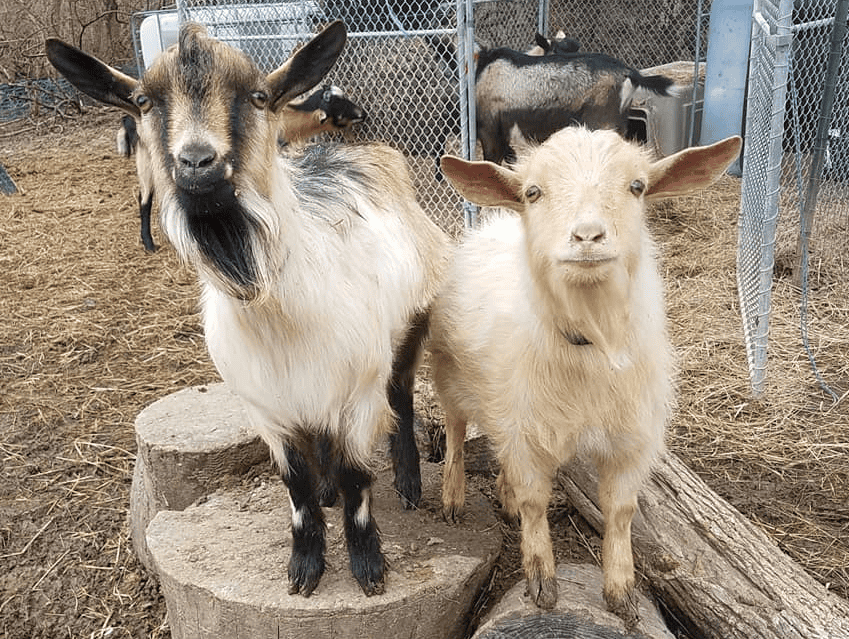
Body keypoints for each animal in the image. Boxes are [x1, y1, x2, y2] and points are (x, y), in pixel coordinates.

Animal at [47, 21, 449, 598]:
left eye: (258, 97)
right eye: (144, 101)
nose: (197, 164)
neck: (277, 312)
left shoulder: (356, 389)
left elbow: (357, 478)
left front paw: (368, 565)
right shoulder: (266, 405)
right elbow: (296, 485)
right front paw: (304, 565)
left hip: (410, 326)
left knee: (402, 400)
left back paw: (410, 482)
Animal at [430, 128, 741, 627]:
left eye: (637, 186)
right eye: (533, 192)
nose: (588, 235)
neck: (590, 342)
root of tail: (493, 225)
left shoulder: (631, 440)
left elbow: (620, 511)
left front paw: (622, 592)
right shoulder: (526, 431)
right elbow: (536, 502)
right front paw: (542, 582)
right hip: (449, 372)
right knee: (457, 434)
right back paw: (454, 499)